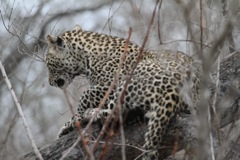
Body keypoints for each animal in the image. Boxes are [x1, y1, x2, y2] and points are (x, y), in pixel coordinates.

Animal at [45, 24, 199, 159]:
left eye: (48, 64)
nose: (50, 83)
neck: (83, 57)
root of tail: (175, 90)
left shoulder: (111, 84)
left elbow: (86, 95)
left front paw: (74, 119)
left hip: (132, 77)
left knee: (114, 112)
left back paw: (90, 114)